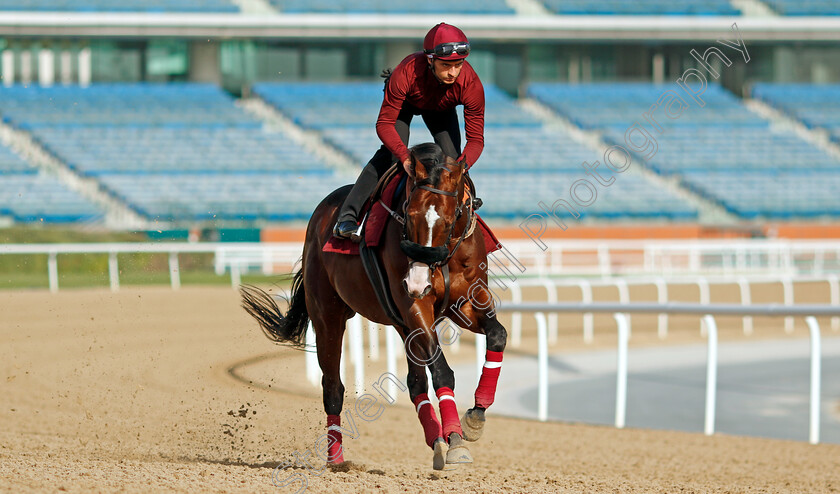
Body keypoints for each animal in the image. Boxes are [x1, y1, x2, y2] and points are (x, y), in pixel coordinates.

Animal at [240, 143, 508, 470]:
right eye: (409, 215)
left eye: (447, 220)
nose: (417, 283)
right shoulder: (415, 307)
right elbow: (443, 371)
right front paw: (456, 439)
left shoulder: (467, 301)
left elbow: (497, 335)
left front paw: (475, 417)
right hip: (328, 315)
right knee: (333, 387)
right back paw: (337, 460)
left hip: (403, 326)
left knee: (415, 383)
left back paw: (435, 440)